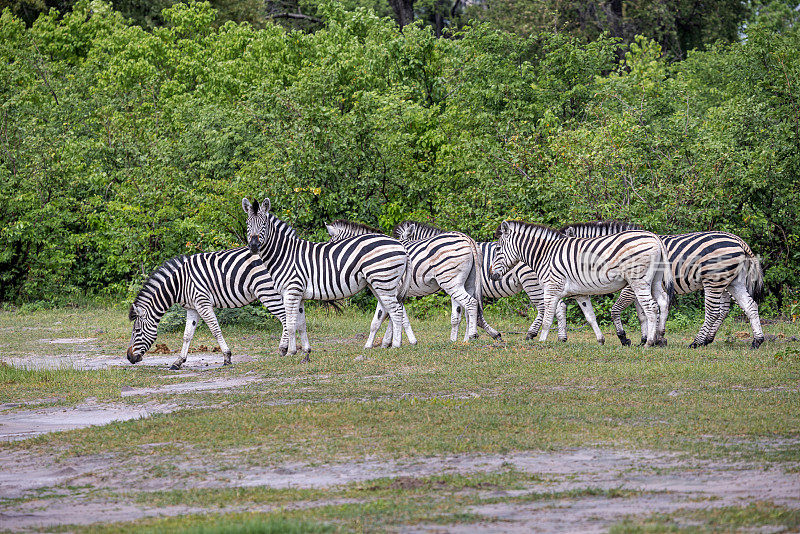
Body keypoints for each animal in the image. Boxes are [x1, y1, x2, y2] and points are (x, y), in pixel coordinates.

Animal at [127, 248, 310, 370]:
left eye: (136, 331)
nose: (129, 357)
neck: (180, 283)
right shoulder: (192, 308)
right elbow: (187, 335)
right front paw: (178, 361)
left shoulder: (202, 302)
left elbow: (215, 330)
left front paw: (227, 357)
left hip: (266, 290)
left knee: (285, 318)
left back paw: (284, 349)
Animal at [245, 199, 416, 358]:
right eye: (247, 224)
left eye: (263, 224)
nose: (253, 246)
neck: (284, 254)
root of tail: (400, 245)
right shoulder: (299, 294)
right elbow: (301, 324)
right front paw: (306, 350)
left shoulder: (291, 291)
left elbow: (291, 324)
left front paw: (290, 352)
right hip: (378, 283)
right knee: (388, 310)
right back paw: (376, 345)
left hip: (384, 281)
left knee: (396, 311)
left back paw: (396, 346)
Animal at [324, 221, 500, 344]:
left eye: (332, 243)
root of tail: (466, 238)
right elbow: (397, 315)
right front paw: (394, 340)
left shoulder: (393, 289)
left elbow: (397, 315)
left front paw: (397, 341)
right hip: (468, 281)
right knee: (470, 308)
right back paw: (466, 339)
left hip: (451, 281)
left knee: (470, 304)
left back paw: (471, 336)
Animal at [490, 221, 672, 348]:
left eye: (498, 248)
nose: (492, 275)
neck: (545, 254)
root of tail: (654, 236)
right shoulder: (580, 293)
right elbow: (590, 317)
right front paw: (600, 340)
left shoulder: (551, 289)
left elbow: (548, 319)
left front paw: (541, 342)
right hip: (655, 280)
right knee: (663, 301)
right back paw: (660, 336)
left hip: (638, 280)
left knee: (651, 307)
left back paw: (649, 342)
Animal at [560, 221, 764, 350]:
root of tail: (738, 240)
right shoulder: (639, 287)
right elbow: (643, 314)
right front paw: (647, 338)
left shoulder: (631, 286)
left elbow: (617, 309)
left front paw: (625, 337)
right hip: (731, 282)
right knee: (747, 306)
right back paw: (755, 341)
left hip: (715, 279)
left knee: (715, 311)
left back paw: (698, 342)